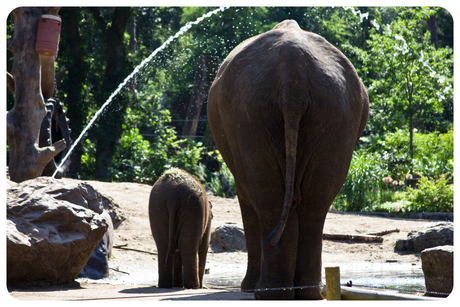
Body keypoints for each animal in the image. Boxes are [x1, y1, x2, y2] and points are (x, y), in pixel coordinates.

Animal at [207, 19, 368, 300]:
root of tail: (294, 79)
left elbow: (247, 197)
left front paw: (248, 288)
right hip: (336, 112)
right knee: (315, 201)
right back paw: (303, 292)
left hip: (252, 113)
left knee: (268, 197)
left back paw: (269, 292)